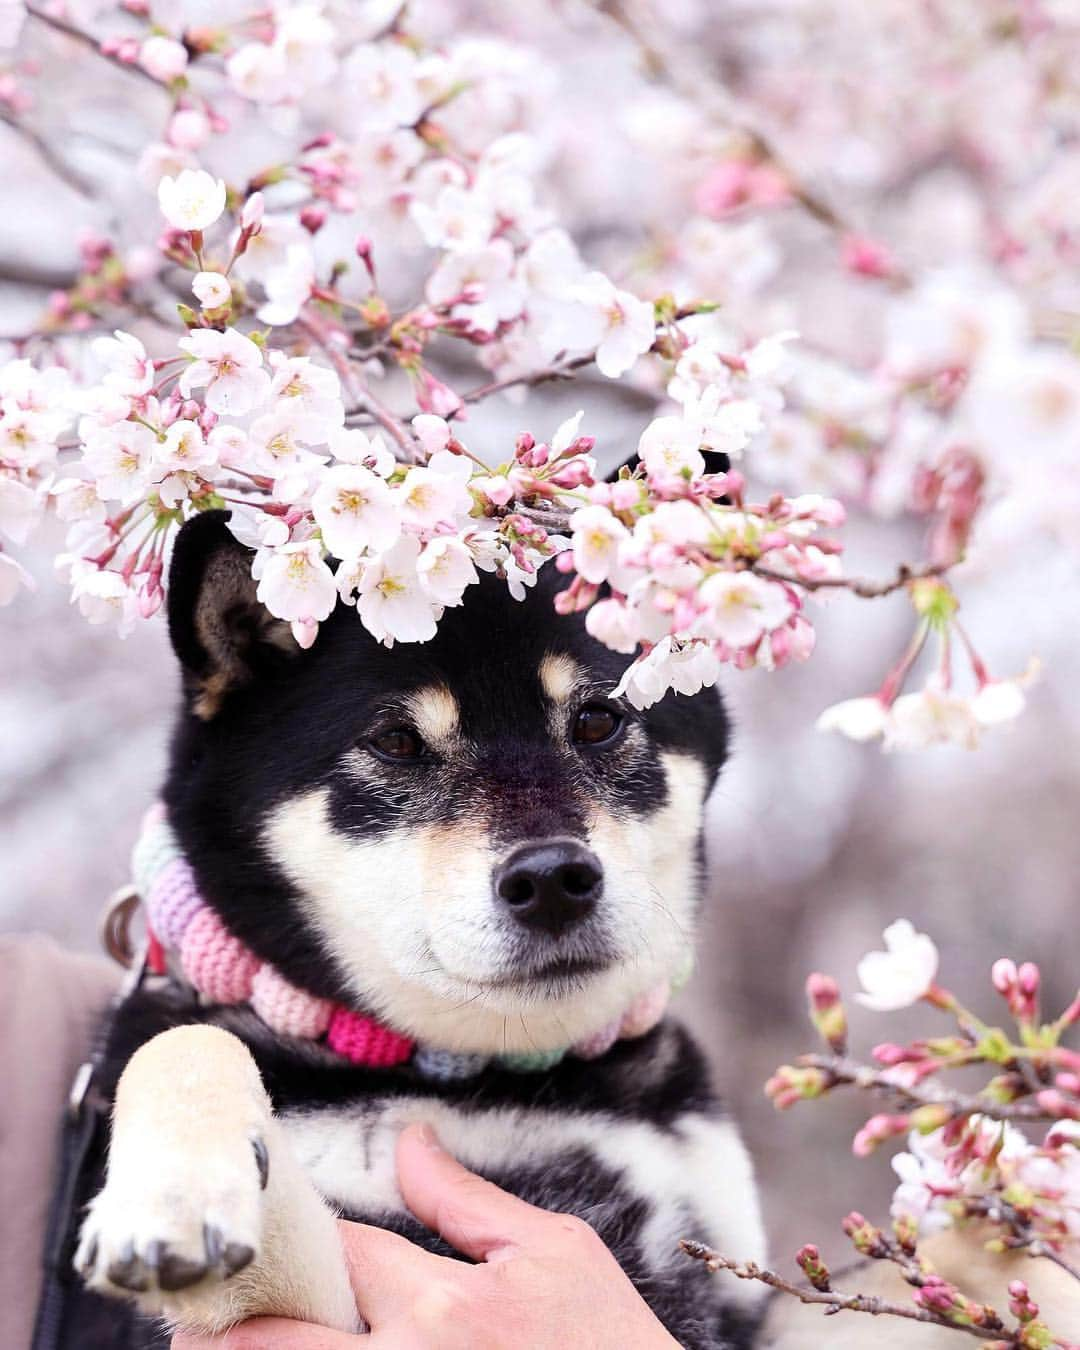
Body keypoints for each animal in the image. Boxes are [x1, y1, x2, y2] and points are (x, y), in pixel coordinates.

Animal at [52, 507, 766, 1350]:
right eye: (395, 742)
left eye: (599, 720)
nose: (552, 881)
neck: (475, 1074)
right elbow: (187, 1039)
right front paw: (174, 1201)